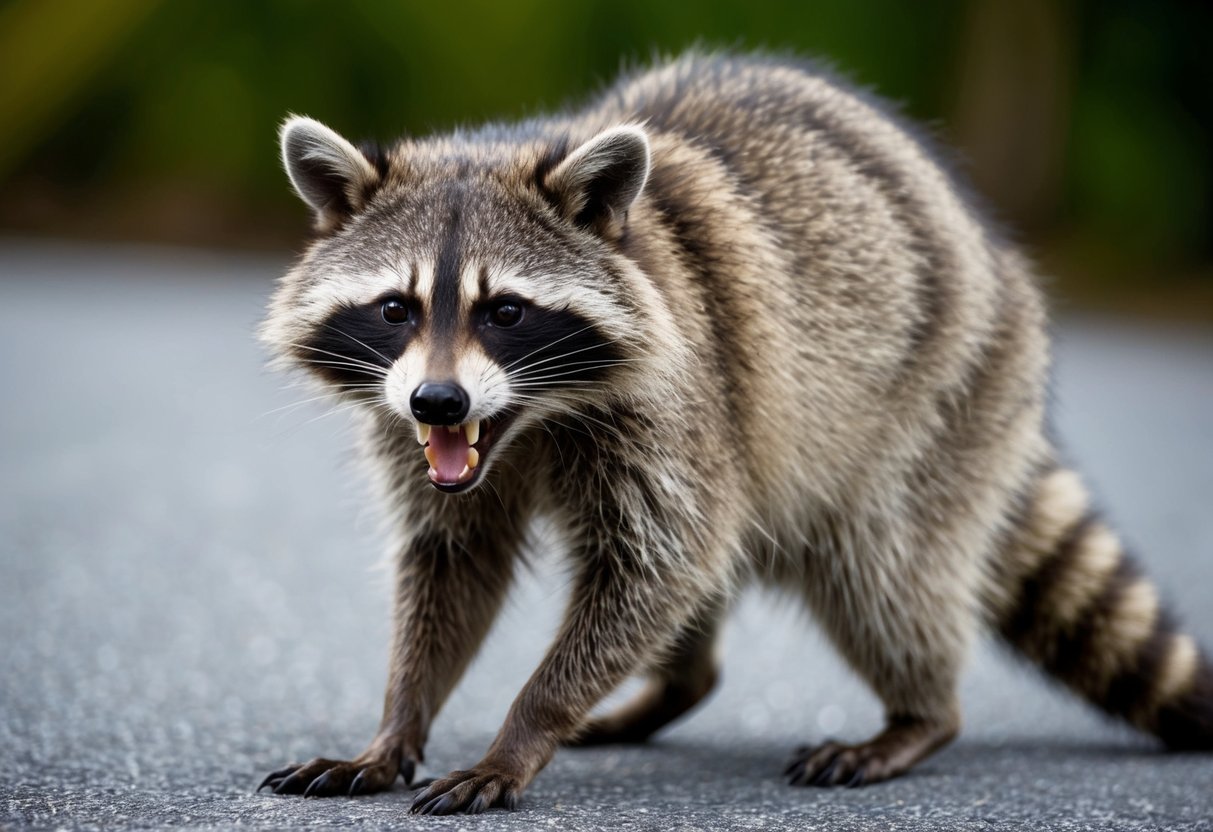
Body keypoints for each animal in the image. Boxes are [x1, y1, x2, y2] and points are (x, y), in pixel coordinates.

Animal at [257, 53, 1213, 813]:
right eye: (396, 308)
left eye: (506, 312)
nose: (440, 403)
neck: (527, 421)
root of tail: (1001, 262)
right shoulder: (409, 426)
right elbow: (456, 563)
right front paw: (396, 725)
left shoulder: (682, 399)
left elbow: (657, 565)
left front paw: (527, 725)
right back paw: (678, 684)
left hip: (942, 394)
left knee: (882, 569)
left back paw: (920, 713)